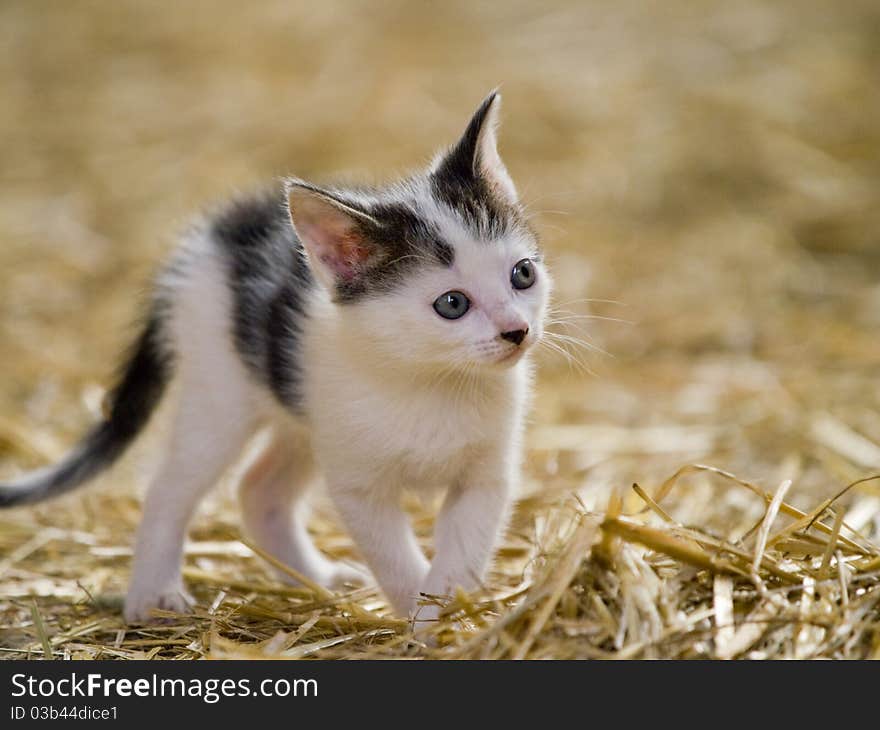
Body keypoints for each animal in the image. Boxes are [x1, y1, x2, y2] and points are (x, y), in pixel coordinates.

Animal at [0, 91, 552, 624]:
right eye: (452, 304)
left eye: (522, 274)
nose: (515, 331)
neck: (432, 379)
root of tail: (210, 234)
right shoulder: (359, 485)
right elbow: (394, 558)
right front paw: (423, 619)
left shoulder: (486, 476)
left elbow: (463, 550)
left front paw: (446, 611)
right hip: (220, 390)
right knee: (169, 488)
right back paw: (151, 596)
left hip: (301, 412)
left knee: (258, 489)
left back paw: (316, 579)